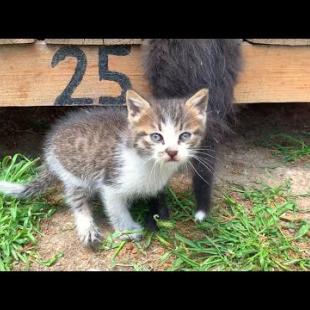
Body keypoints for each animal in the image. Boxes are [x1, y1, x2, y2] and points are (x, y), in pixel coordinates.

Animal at [0, 88, 209, 246]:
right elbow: (116, 209)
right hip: (75, 173)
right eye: (156, 137)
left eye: (185, 135)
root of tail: (50, 147)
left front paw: (157, 212)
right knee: (75, 198)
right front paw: (127, 230)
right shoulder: (111, 182)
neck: (151, 163)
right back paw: (86, 225)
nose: (172, 152)